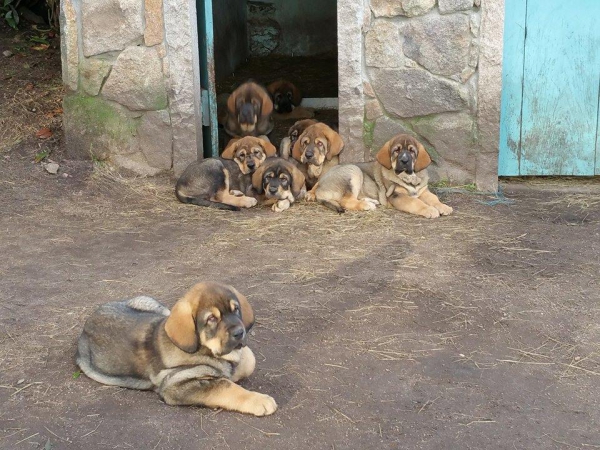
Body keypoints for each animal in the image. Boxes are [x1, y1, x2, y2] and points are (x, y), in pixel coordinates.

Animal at [75, 284, 278, 416]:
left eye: (236, 310)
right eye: (211, 319)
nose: (239, 332)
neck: (204, 349)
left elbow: (248, 360)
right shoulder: (176, 384)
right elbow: (224, 386)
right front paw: (259, 400)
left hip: (154, 306)